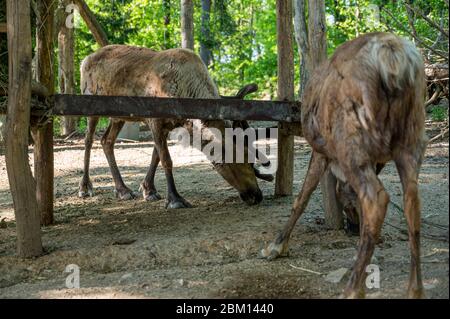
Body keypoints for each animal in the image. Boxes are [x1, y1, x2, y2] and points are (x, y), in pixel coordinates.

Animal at [78, 45, 270, 210]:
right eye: (239, 159)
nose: (257, 195)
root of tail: (85, 59)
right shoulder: (155, 121)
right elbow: (166, 160)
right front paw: (175, 199)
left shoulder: (170, 124)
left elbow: (156, 156)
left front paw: (149, 190)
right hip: (91, 104)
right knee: (89, 140)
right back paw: (85, 187)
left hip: (118, 116)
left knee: (106, 141)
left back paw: (122, 190)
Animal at [262, 33, 428, 300]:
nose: (354, 227)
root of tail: (393, 57)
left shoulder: (322, 150)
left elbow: (301, 197)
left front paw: (276, 246)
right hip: (412, 138)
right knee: (411, 201)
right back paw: (415, 289)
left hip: (350, 141)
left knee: (376, 198)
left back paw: (353, 289)